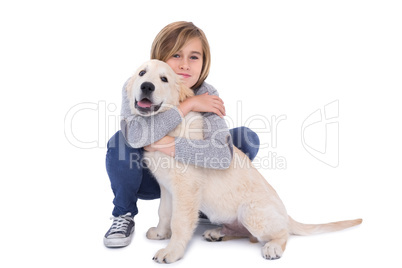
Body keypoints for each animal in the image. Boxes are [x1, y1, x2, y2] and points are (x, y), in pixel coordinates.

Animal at [125, 59, 362, 264]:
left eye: (164, 79)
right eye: (142, 73)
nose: (146, 86)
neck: (167, 127)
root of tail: (287, 215)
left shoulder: (186, 188)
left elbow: (180, 221)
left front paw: (172, 252)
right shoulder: (166, 186)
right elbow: (164, 212)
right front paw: (160, 233)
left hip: (251, 213)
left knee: (280, 233)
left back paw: (273, 246)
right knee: (248, 235)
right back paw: (218, 233)